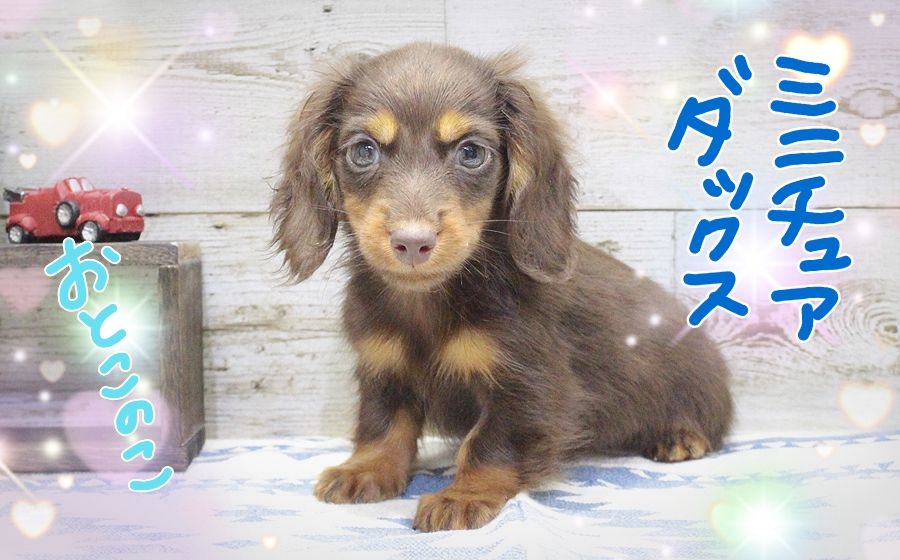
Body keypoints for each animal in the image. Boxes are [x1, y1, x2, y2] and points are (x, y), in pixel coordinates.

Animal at [270, 43, 732, 532]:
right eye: (363, 151)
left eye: (471, 152)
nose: (413, 242)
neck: (429, 303)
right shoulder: (383, 367)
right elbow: (383, 424)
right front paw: (366, 469)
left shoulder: (527, 386)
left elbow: (490, 444)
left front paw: (463, 495)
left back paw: (679, 434)